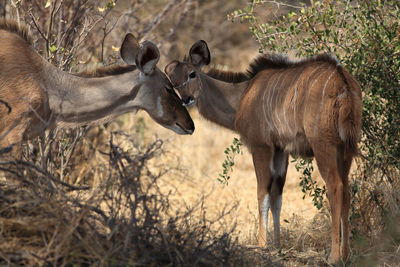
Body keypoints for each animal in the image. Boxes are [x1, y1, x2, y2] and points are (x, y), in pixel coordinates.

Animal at [165, 40, 362, 264]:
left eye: (192, 74)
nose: (186, 99)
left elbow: (262, 192)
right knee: (347, 189)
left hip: (324, 145)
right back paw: (346, 253)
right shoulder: (280, 150)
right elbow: (277, 195)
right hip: (346, 148)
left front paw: (262, 244)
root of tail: (342, 82)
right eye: (170, 81)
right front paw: (277, 245)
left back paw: (334, 256)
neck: (242, 95)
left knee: (335, 187)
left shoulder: (260, 146)